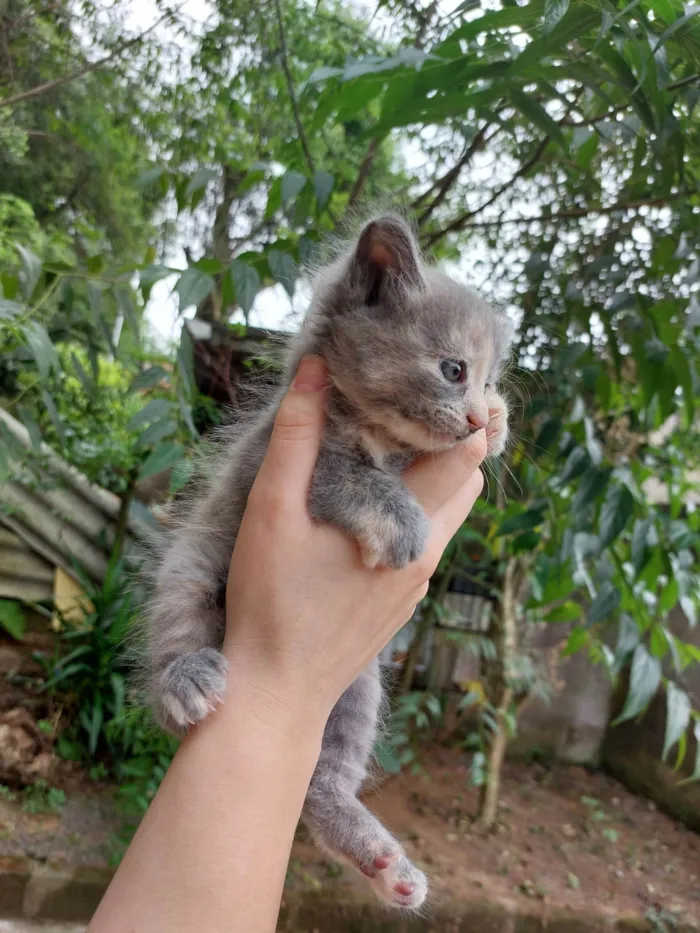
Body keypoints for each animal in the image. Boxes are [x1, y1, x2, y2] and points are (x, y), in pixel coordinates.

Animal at [145, 213, 512, 912]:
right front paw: (403, 524)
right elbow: (350, 477)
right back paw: (184, 681)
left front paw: (501, 425)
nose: (479, 414)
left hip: (358, 689)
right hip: (192, 563)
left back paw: (382, 862)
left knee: (322, 782)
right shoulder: (288, 460)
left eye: (487, 380)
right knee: (171, 637)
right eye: (453, 369)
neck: (380, 434)